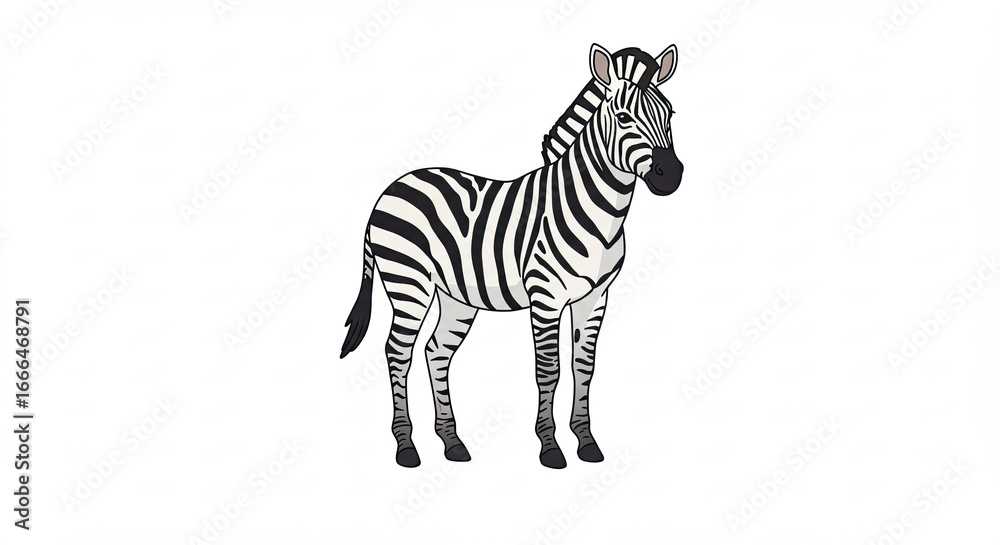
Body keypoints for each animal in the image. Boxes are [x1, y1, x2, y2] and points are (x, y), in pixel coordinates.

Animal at [341, 44, 683, 469]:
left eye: (670, 114)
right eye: (623, 118)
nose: (672, 175)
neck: (596, 209)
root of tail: (390, 188)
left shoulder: (594, 297)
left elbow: (583, 367)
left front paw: (586, 441)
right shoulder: (546, 296)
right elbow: (549, 369)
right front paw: (550, 446)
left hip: (455, 297)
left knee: (436, 351)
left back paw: (452, 442)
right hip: (409, 283)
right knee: (397, 351)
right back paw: (406, 447)